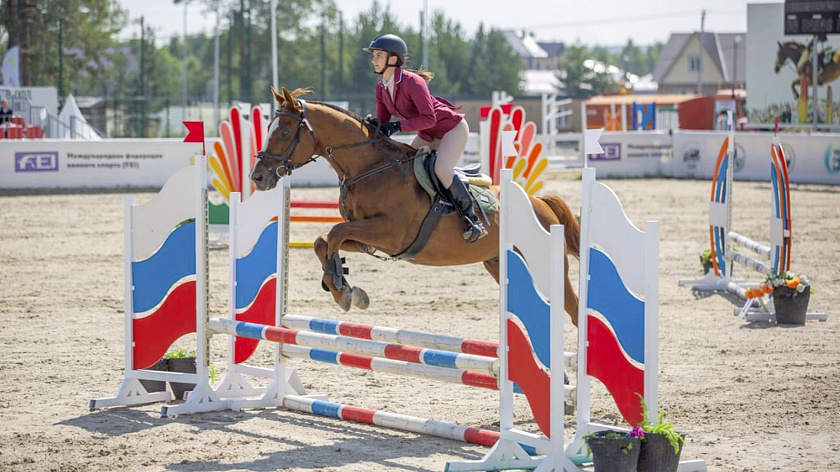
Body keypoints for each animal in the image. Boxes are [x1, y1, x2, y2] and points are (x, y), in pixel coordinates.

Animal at [248, 85, 576, 324]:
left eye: (285, 132)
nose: (258, 177)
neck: (369, 168)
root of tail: (541, 203)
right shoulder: (368, 238)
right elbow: (324, 239)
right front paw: (344, 286)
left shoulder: (390, 233)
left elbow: (335, 233)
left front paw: (342, 287)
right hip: (497, 263)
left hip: (549, 269)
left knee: (571, 309)